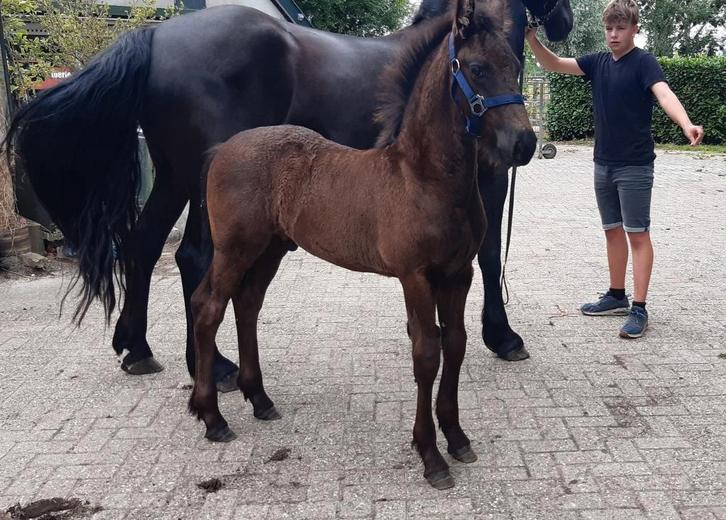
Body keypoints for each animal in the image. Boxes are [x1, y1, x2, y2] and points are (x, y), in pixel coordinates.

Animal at [5, 0, 573, 389]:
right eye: (479, 69)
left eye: (514, 67)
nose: (566, 21)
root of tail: (156, 35)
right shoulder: (488, 179)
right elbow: (489, 254)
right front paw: (503, 336)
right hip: (205, 186)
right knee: (193, 257)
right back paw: (216, 367)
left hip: (172, 178)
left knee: (142, 247)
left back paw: (137, 347)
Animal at [188, 0, 535, 489]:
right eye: (478, 68)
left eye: (517, 67)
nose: (524, 144)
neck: (423, 178)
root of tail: (223, 149)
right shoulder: (415, 277)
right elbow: (426, 353)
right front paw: (430, 455)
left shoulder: (458, 274)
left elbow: (457, 344)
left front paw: (457, 437)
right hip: (235, 248)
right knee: (209, 307)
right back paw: (212, 417)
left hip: (271, 248)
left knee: (247, 304)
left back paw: (259, 399)